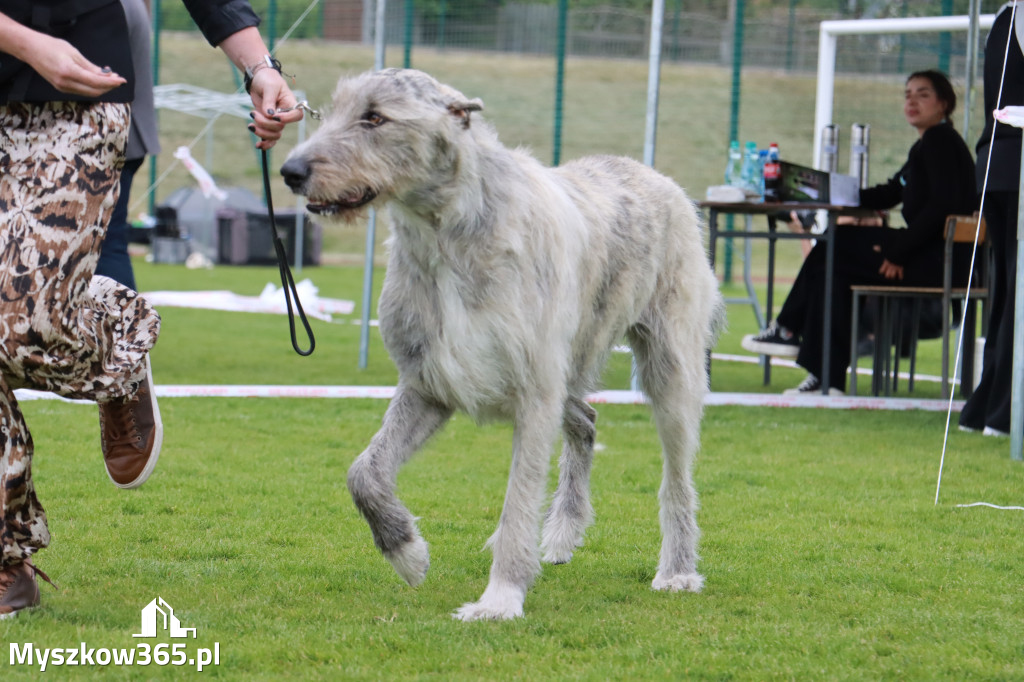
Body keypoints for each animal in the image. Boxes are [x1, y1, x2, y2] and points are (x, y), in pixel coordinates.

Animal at [282, 70, 720, 622]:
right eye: (333, 110)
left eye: (375, 117)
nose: (290, 171)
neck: (444, 235)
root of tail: (654, 175)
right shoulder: (428, 382)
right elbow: (363, 472)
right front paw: (407, 551)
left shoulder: (534, 392)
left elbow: (517, 501)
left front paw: (500, 598)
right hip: (569, 361)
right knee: (585, 419)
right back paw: (562, 532)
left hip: (669, 365)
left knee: (676, 477)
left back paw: (677, 570)